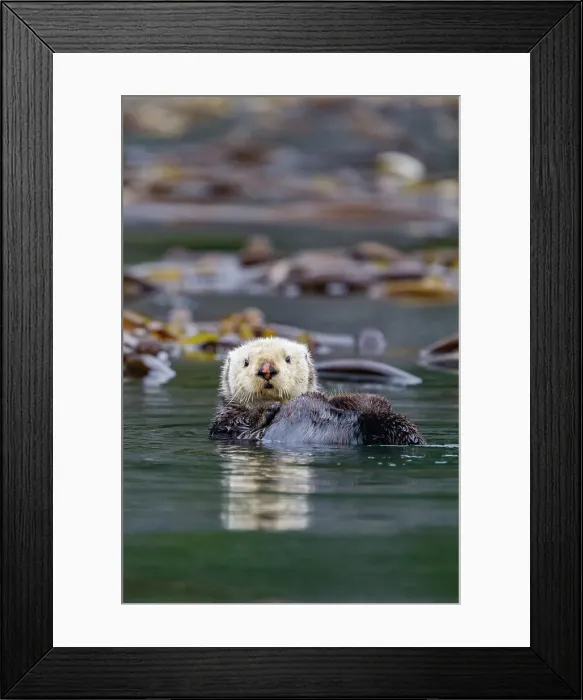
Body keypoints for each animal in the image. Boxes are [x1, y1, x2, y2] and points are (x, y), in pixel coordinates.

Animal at [209, 337, 425, 446]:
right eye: (246, 362)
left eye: (288, 359)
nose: (266, 369)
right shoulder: (225, 422)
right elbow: (237, 425)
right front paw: (267, 410)